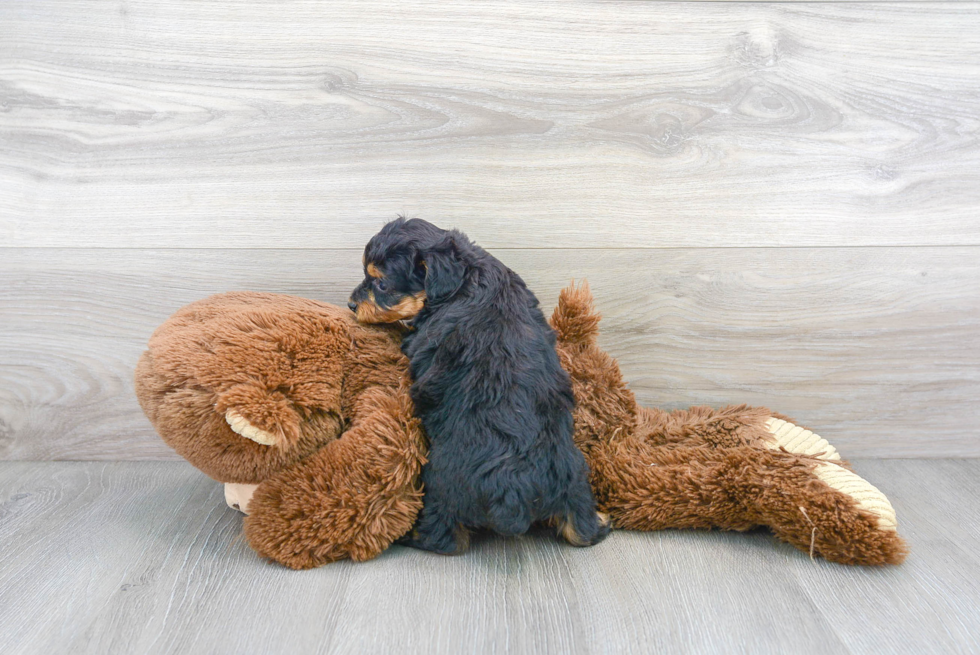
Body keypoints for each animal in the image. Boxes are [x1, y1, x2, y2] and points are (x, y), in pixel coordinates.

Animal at [348, 219, 608, 552]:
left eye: (381, 285)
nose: (351, 304)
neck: (464, 278)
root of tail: (513, 492)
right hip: (573, 474)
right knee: (580, 526)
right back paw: (599, 521)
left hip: (440, 484)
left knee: (443, 537)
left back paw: (411, 535)